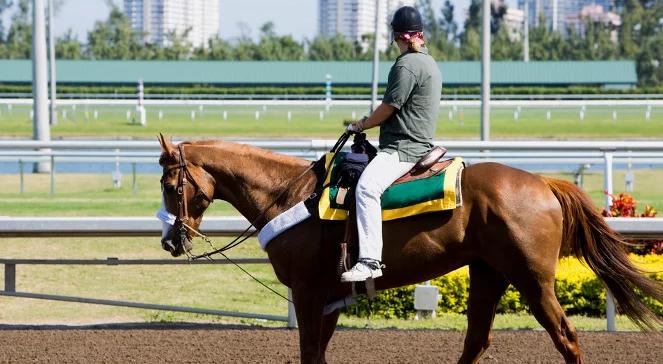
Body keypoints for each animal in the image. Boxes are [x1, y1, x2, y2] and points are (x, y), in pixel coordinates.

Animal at [157, 136, 663, 364]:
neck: (290, 194)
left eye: (167, 182)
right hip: (488, 274)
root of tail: (543, 182)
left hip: (533, 281)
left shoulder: (308, 293)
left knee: (565, 336)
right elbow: (317, 352)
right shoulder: (329, 297)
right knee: (476, 339)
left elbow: (310, 352)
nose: (170, 240)